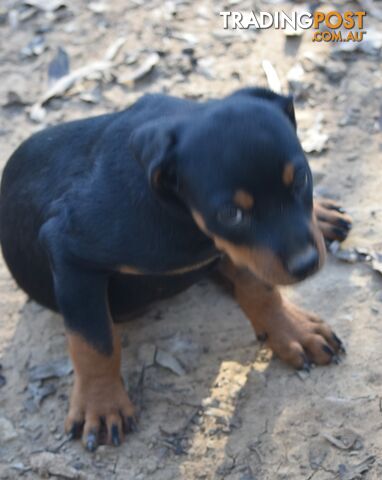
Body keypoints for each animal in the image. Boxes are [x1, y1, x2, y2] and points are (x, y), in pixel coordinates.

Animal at [0, 88, 352, 452]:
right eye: (231, 214)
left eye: (302, 179)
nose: (306, 264)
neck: (177, 208)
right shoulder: (70, 252)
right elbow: (94, 342)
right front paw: (101, 404)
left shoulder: (241, 250)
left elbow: (261, 289)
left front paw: (291, 330)